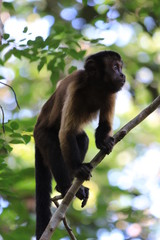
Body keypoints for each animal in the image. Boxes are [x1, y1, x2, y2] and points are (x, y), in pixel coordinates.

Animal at [34, 50, 125, 238]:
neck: (95, 86)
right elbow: (65, 133)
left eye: (120, 67)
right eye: (115, 67)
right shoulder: (75, 88)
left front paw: (104, 142)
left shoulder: (111, 92)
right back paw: (66, 186)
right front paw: (78, 169)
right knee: (53, 143)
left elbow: (104, 126)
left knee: (82, 138)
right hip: (41, 135)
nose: (122, 75)